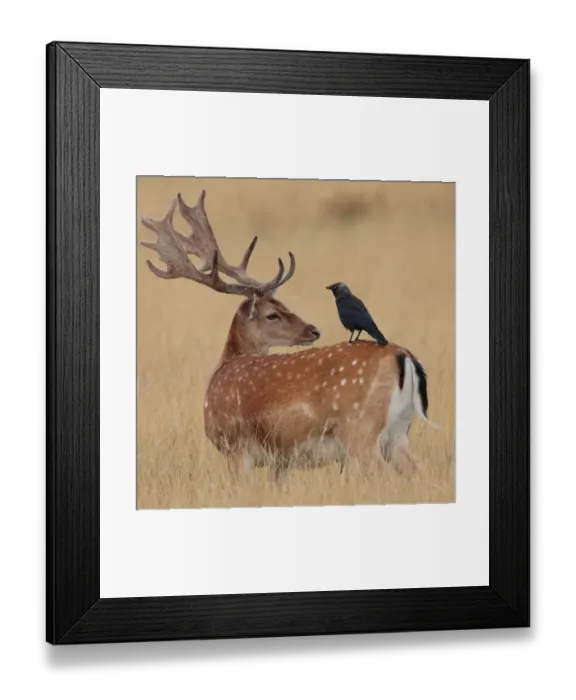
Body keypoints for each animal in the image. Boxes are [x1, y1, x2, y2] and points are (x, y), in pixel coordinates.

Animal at [140, 190, 439, 479]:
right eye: (274, 313)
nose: (313, 329)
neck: (224, 366)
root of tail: (405, 357)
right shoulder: (281, 460)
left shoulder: (235, 446)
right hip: (398, 435)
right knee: (420, 472)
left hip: (360, 430)